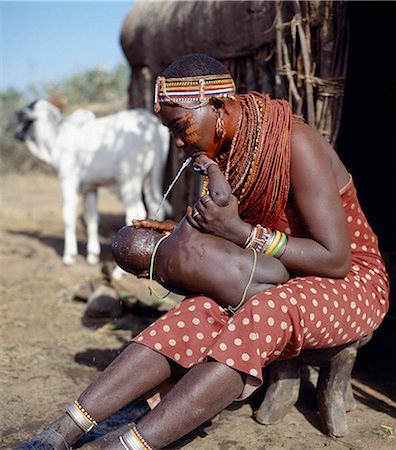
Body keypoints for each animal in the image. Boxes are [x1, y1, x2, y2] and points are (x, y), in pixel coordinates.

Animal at [15, 99, 170, 268]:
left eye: (26, 120)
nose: (17, 134)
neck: (57, 135)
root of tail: (151, 124)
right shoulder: (91, 188)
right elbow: (91, 217)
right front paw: (93, 255)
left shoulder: (68, 180)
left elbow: (68, 214)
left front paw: (69, 255)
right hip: (153, 177)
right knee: (155, 205)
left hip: (130, 182)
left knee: (136, 211)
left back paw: (117, 271)